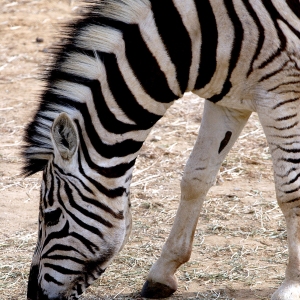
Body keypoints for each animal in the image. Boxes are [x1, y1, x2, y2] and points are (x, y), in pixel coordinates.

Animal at [23, 0, 300, 298]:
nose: (33, 295)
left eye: (51, 217)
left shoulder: (282, 94)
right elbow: (196, 178)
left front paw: (292, 284)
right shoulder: (229, 101)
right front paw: (163, 272)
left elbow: (291, 193)